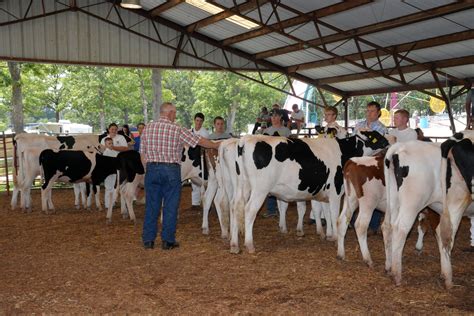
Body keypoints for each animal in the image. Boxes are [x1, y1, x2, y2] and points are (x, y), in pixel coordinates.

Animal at [230, 131, 388, 254]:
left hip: (241, 186)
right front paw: (335, 238)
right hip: (260, 189)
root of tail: (245, 139)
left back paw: (234, 245)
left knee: (235, 207)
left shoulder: (325, 192)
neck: (344, 151)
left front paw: (328, 235)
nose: (388, 141)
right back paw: (249, 245)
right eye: (378, 136)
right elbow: (334, 215)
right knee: (249, 210)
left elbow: (326, 214)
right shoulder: (336, 191)